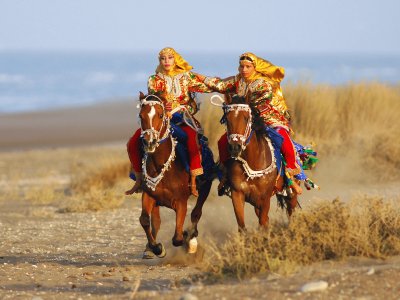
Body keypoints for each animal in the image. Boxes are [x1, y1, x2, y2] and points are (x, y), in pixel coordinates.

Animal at [138, 92, 212, 258]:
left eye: (160, 115)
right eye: (140, 115)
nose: (149, 142)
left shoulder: (181, 202)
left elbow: (177, 238)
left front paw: (187, 239)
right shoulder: (149, 195)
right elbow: (145, 220)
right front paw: (156, 248)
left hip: (206, 187)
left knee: (196, 213)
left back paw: (192, 241)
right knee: (156, 221)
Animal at [211, 94, 298, 232]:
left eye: (246, 118)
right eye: (227, 119)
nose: (235, 147)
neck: (253, 161)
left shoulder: (265, 198)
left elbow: (262, 223)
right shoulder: (237, 194)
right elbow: (242, 226)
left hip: (291, 194)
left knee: (291, 213)